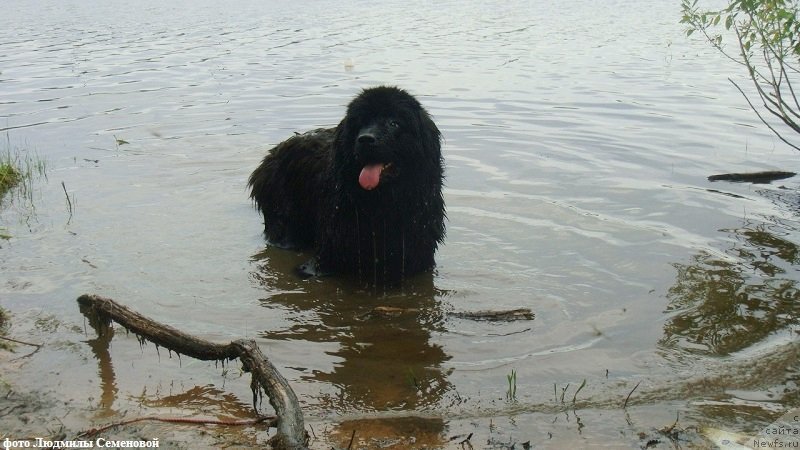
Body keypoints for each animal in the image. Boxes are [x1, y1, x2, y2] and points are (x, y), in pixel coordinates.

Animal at [248, 85, 444, 284]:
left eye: (394, 123)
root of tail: (271, 155)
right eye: (360, 122)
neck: (381, 203)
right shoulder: (328, 253)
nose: (365, 138)